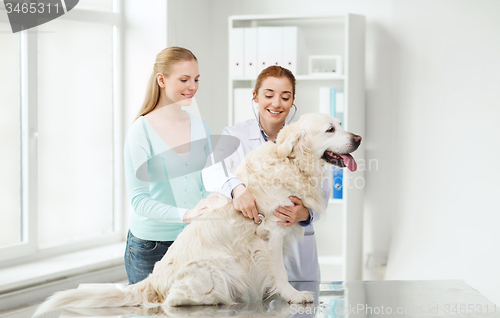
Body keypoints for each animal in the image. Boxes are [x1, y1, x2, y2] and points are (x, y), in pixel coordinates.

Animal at [34, 113, 360, 316]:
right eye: (330, 129)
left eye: (340, 124)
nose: (357, 138)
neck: (291, 163)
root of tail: (152, 281)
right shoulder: (269, 236)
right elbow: (279, 272)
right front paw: (294, 295)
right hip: (215, 267)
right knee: (173, 300)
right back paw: (218, 299)